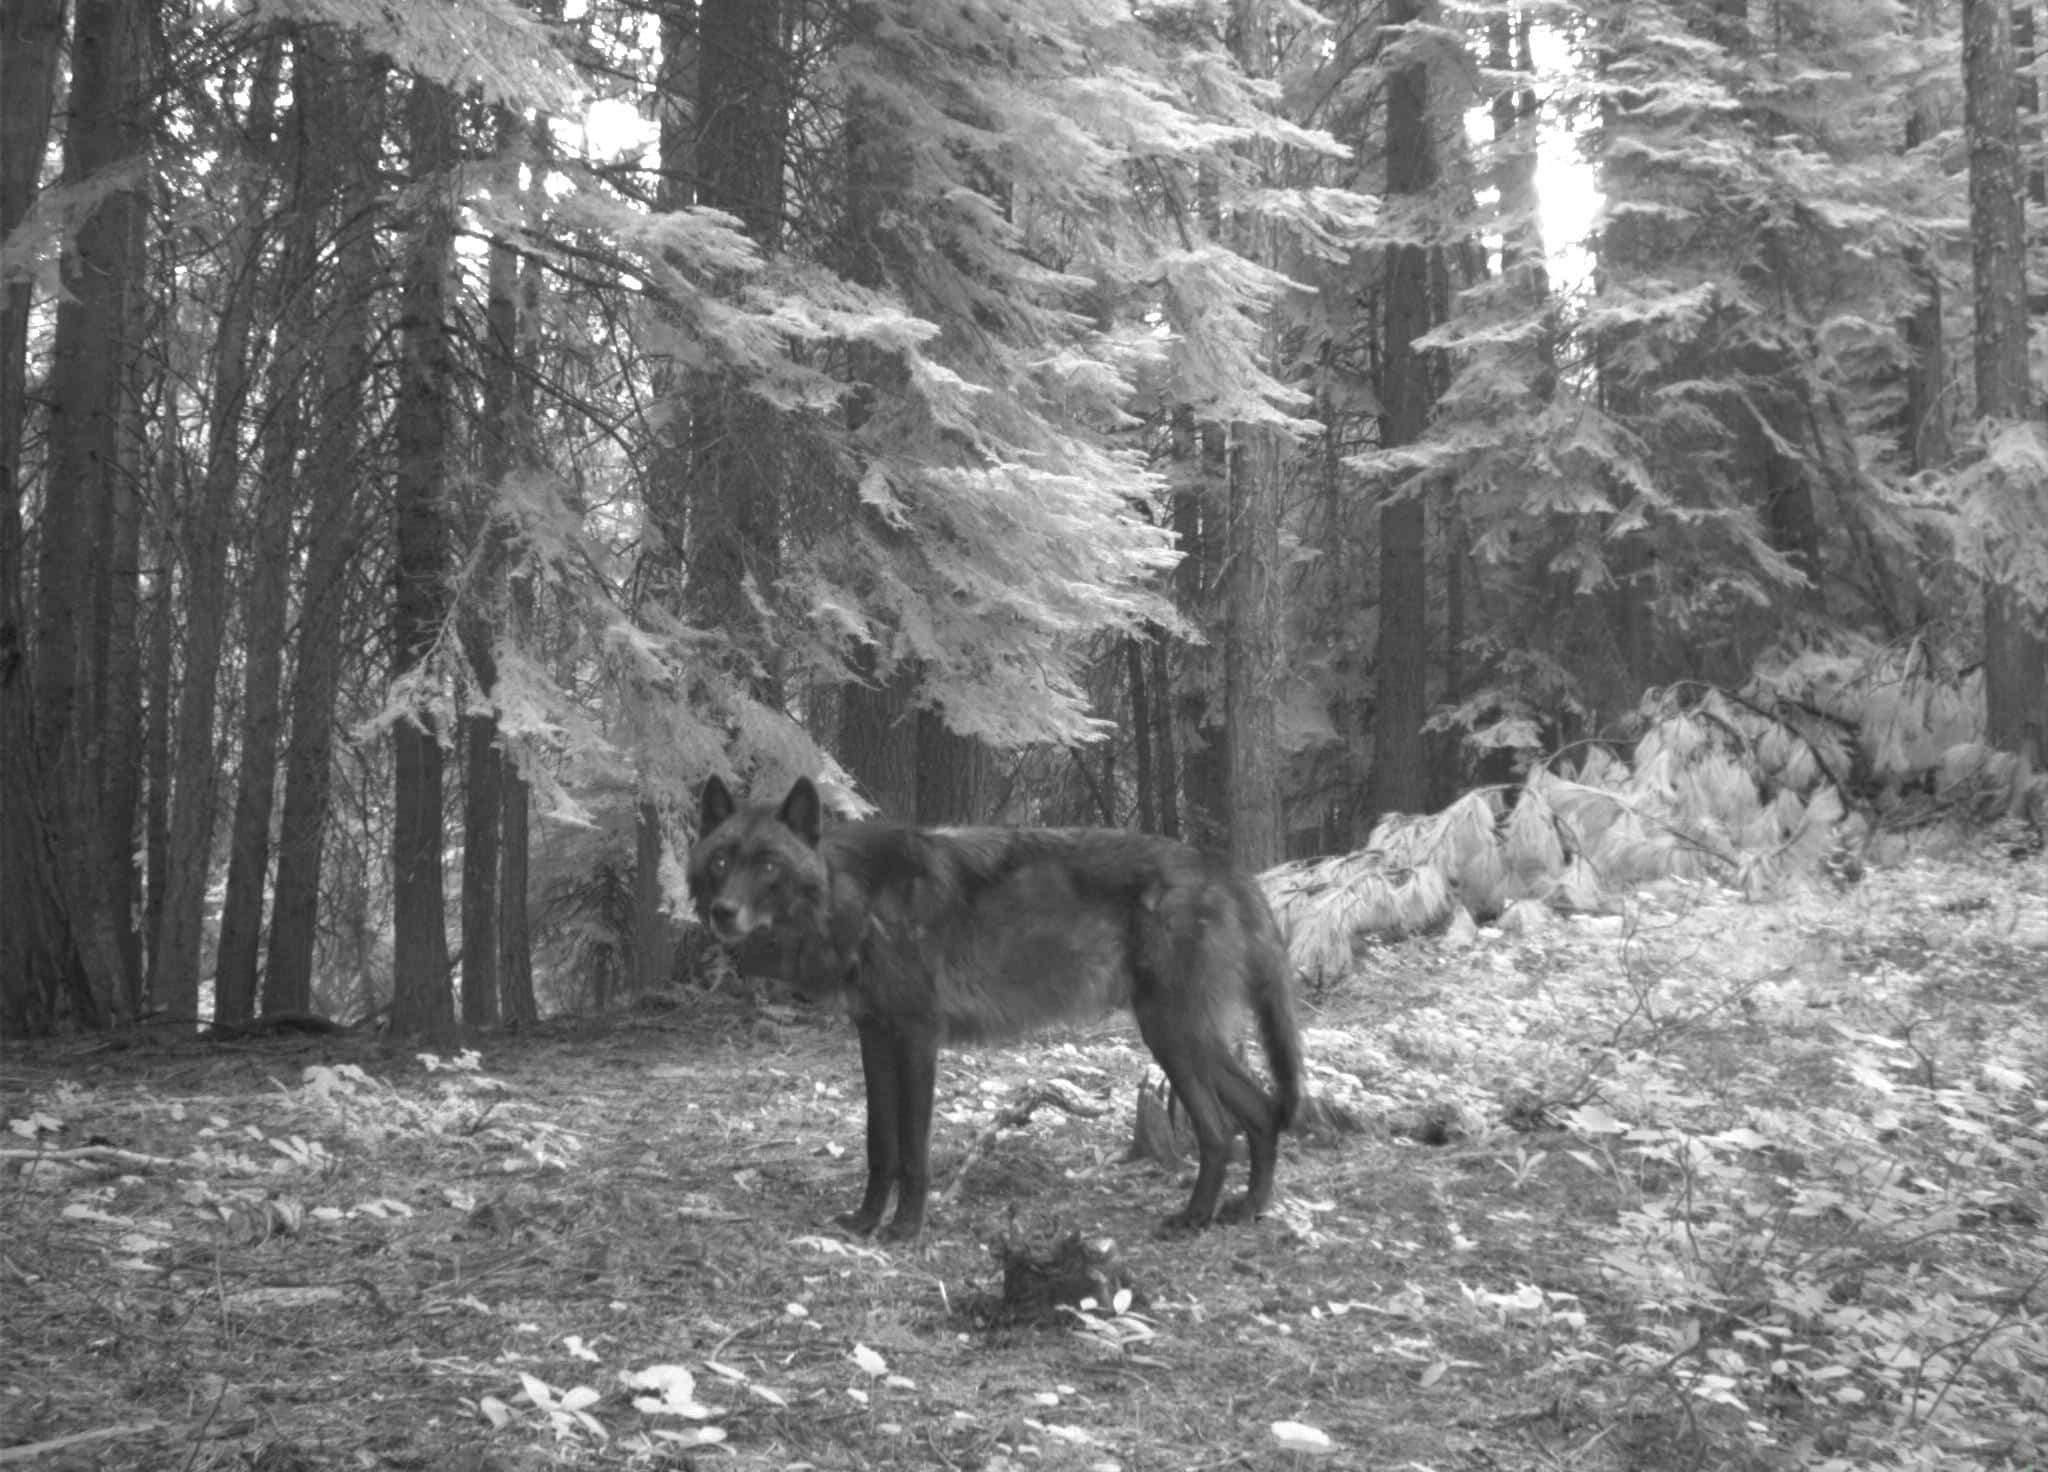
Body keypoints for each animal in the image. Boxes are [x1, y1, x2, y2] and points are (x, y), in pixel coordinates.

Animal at [686, 775, 1304, 1241]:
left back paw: (1194, 1218)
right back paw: (1249, 1210)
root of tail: (1223, 868)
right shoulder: (874, 1036)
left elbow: (913, 1151)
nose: (723, 912)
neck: (855, 897)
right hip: (1186, 1038)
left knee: (1221, 1130)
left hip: (1172, 1036)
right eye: (720, 861)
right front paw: (865, 1221)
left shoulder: (917, 1039)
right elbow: (879, 1144)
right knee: (1262, 1112)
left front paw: (905, 1229)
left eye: (769, 866)